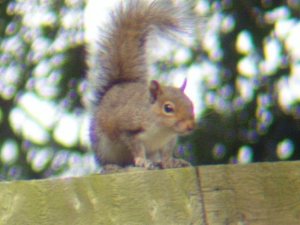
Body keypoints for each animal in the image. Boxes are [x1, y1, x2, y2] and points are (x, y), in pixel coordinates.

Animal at [87, 0, 195, 169]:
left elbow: (166, 153)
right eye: (168, 108)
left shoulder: (169, 140)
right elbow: (136, 147)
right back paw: (112, 166)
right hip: (103, 146)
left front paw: (170, 162)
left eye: (191, 104)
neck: (162, 129)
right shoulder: (129, 129)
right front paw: (141, 161)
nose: (190, 126)